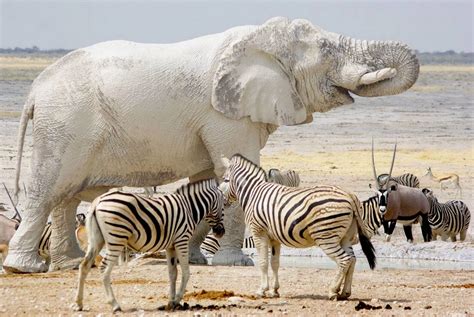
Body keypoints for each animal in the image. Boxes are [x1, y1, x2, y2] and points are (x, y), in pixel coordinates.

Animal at [4, 16, 418, 272]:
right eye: (327, 51)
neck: (257, 40)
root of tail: (35, 90)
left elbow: (208, 179)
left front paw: (197, 261)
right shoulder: (224, 113)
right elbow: (232, 169)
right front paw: (237, 263)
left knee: (66, 196)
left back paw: (71, 264)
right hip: (65, 124)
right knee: (47, 191)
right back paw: (24, 267)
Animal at [72, 178, 224, 312]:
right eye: (223, 207)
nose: (220, 232)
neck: (189, 208)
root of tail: (97, 201)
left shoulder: (170, 246)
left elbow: (172, 273)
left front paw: (171, 302)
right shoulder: (182, 240)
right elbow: (186, 272)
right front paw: (177, 299)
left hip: (96, 240)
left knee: (84, 266)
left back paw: (78, 304)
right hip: (117, 238)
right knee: (104, 268)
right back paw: (115, 304)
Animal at [220, 154, 376, 300]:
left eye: (225, 180)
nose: (222, 199)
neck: (254, 193)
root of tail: (350, 195)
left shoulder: (258, 232)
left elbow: (263, 262)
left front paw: (261, 290)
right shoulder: (274, 238)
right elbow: (275, 262)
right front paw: (274, 291)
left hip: (326, 236)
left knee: (344, 260)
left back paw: (333, 291)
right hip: (345, 236)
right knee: (352, 260)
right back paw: (345, 292)